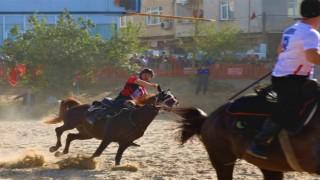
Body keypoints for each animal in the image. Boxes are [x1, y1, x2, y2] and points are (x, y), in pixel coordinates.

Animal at [44, 86, 179, 165]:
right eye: (163, 95)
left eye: (172, 95)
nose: (176, 102)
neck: (135, 117)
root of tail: (77, 105)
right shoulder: (107, 138)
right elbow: (97, 153)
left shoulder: (125, 143)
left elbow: (118, 158)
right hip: (70, 123)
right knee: (59, 130)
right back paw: (55, 148)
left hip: (86, 134)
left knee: (70, 136)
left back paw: (61, 152)